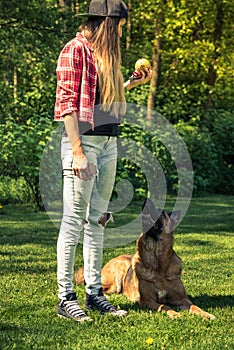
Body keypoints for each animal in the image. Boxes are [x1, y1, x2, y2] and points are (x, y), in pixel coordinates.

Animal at [75, 198, 216, 318]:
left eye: (161, 211)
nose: (146, 199)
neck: (158, 264)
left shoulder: (182, 299)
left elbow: (194, 306)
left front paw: (206, 314)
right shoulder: (147, 300)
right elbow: (164, 306)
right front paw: (175, 314)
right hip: (116, 279)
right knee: (99, 289)